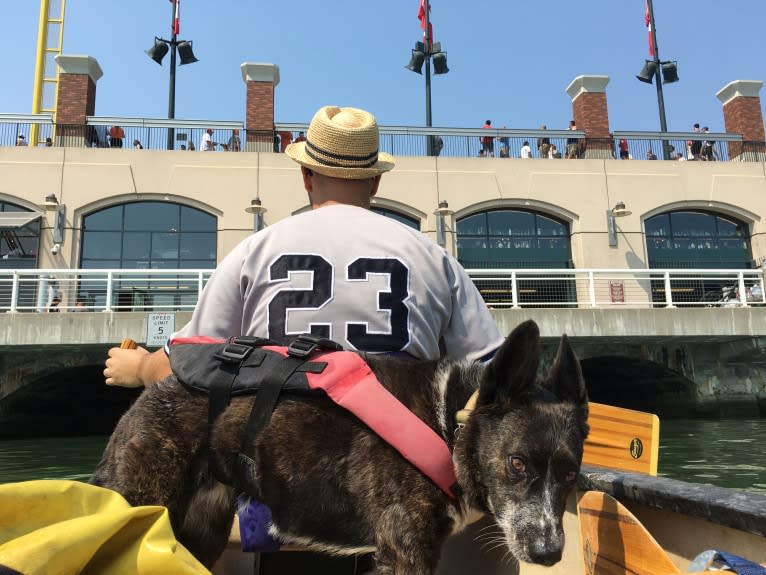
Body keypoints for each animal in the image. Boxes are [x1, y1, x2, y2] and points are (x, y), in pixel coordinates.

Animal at [93, 322, 592, 572]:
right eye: (517, 463)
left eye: (571, 475)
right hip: (143, 501)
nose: (549, 554)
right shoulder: (406, 552)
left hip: (198, 529)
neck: (450, 422)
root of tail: (152, 391)